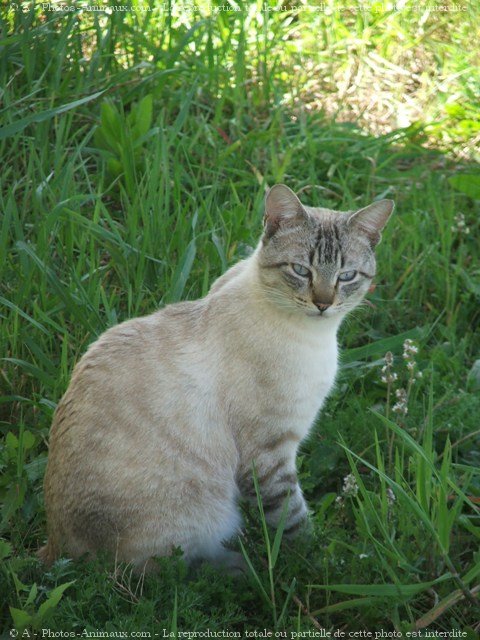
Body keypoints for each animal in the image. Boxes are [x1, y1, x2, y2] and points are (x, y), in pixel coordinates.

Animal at [39, 182, 394, 572]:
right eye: (301, 270)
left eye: (346, 276)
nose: (323, 304)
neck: (318, 337)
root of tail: (54, 546)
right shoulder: (268, 453)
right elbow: (295, 522)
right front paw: (319, 565)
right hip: (199, 523)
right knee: (180, 569)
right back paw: (247, 569)